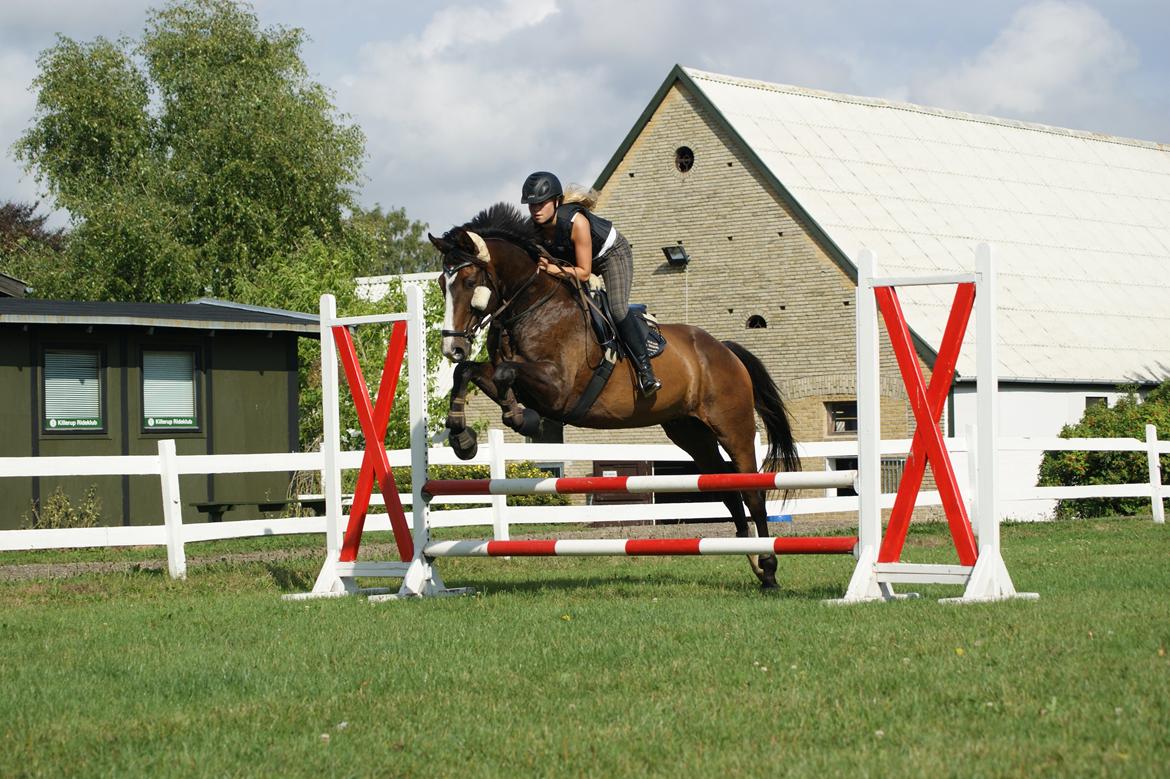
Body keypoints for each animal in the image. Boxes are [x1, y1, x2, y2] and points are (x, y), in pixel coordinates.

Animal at [430, 203, 804, 584]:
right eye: (443, 283)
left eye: (470, 282)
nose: (452, 348)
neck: (532, 305)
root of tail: (725, 350)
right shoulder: (508, 373)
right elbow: (471, 372)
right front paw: (464, 438)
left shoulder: (558, 390)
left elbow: (505, 372)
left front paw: (521, 419)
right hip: (690, 432)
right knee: (726, 488)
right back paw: (753, 559)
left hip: (733, 427)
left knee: (753, 492)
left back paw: (769, 568)